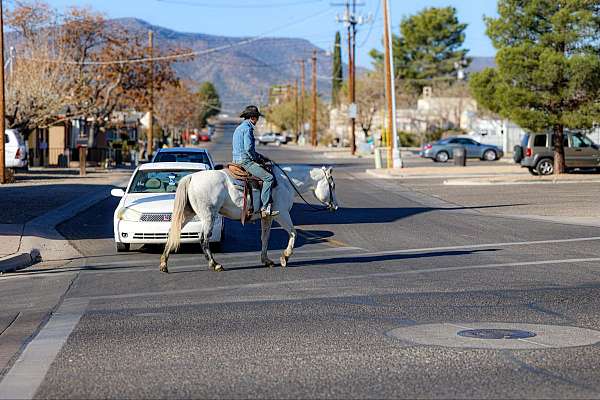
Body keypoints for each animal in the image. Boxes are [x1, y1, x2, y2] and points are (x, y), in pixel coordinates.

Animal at [159, 164, 338, 274]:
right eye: (333, 185)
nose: (335, 206)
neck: (286, 182)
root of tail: (191, 178)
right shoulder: (282, 214)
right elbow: (293, 233)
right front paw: (285, 257)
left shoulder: (268, 216)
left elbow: (265, 237)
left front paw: (266, 260)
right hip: (208, 216)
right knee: (203, 239)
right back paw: (215, 264)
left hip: (188, 214)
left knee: (172, 232)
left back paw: (164, 264)